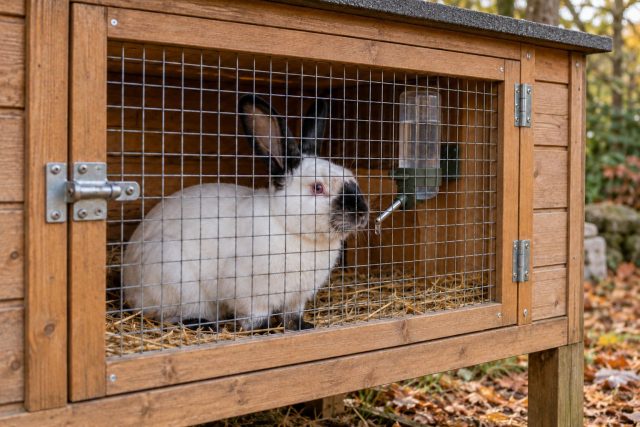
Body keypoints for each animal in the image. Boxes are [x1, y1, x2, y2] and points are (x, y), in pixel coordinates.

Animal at [122, 94, 369, 332]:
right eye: (318, 188)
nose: (362, 213)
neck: (289, 227)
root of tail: (128, 287)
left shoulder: (297, 298)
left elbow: (291, 316)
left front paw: (303, 327)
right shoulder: (250, 294)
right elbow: (254, 318)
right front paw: (265, 330)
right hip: (179, 284)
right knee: (169, 316)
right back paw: (204, 325)